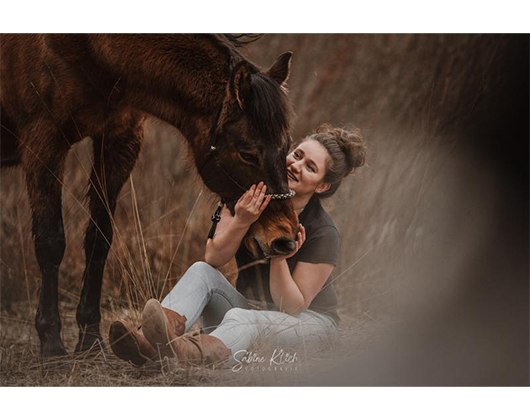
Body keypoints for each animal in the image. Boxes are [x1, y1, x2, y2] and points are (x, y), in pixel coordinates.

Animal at [0, 34, 296, 360]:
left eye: (287, 145)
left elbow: (98, 239)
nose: (284, 238)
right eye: (247, 152)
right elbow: (51, 242)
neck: (90, 47)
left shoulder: (119, 137)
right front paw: (52, 344)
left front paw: (90, 339)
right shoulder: (44, 142)